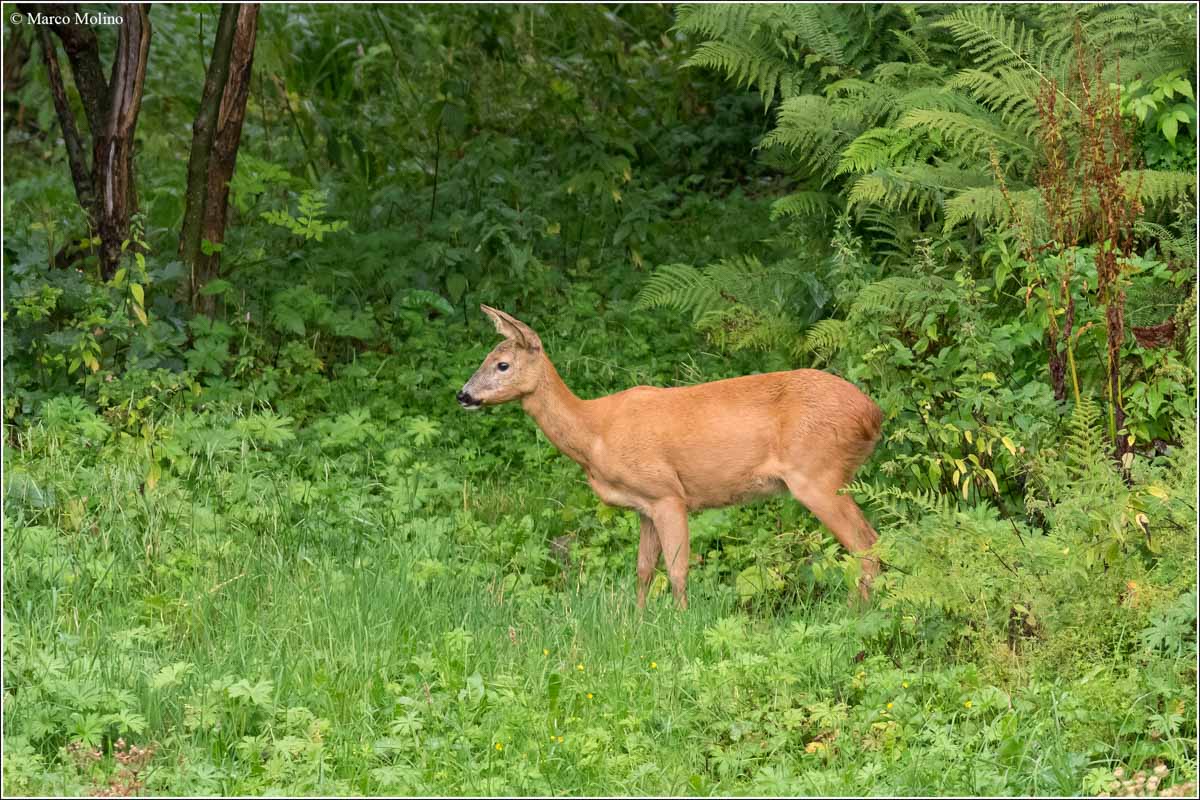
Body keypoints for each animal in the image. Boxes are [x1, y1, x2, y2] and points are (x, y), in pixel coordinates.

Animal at [456, 304, 883, 606]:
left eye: (502, 364)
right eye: (483, 360)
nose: (464, 395)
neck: (595, 432)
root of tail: (873, 414)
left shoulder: (667, 493)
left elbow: (677, 571)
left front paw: (681, 624)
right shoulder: (643, 505)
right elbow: (644, 569)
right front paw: (636, 621)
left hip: (819, 475)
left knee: (867, 546)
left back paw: (858, 613)